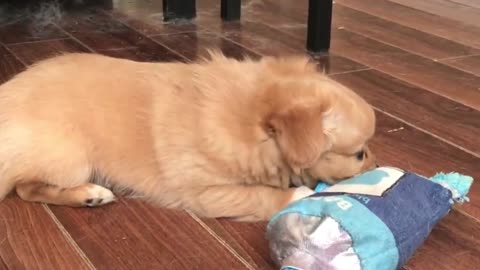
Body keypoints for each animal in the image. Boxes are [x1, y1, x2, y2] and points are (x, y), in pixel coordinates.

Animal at [0, 51, 376, 221]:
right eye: (359, 153)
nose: (376, 164)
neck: (249, 117)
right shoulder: (205, 194)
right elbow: (260, 195)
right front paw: (299, 193)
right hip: (71, 158)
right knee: (26, 187)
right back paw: (89, 195)